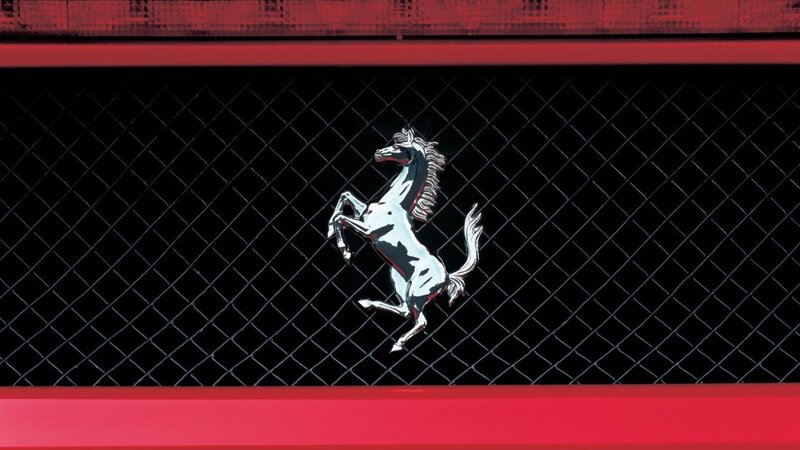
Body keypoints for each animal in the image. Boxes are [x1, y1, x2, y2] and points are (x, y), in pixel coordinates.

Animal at [327, 127, 483, 352]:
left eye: (398, 146)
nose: (378, 153)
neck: (395, 203)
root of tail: (447, 276)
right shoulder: (362, 214)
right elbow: (345, 196)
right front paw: (330, 231)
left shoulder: (368, 231)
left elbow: (342, 218)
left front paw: (346, 252)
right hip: (399, 280)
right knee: (404, 310)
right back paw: (368, 303)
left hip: (417, 293)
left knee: (421, 320)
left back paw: (397, 344)